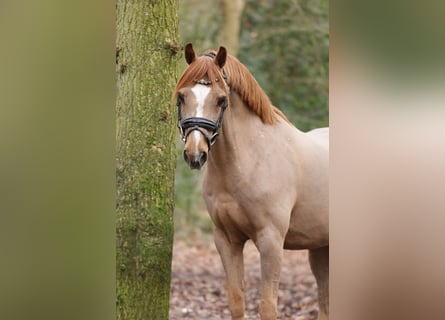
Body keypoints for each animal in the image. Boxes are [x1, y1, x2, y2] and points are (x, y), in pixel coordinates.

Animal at [175, 43, 328, 320]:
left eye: (221, 100)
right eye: (182, 96)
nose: (195, 154)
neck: (249, 160)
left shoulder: (271, 241)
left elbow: (267, 307)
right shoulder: (227, 240)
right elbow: (237, 301)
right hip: (321, 247)